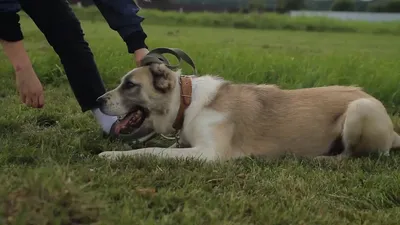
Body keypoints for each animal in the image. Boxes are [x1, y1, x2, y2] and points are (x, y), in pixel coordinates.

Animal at [96, 62, 400, 162]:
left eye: (130, 85)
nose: (97, 100)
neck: (188, 101)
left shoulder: (209, 154)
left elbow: (153, 150)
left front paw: (111, 155)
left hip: (360, 108)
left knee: (352, 157)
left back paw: (321, 160)